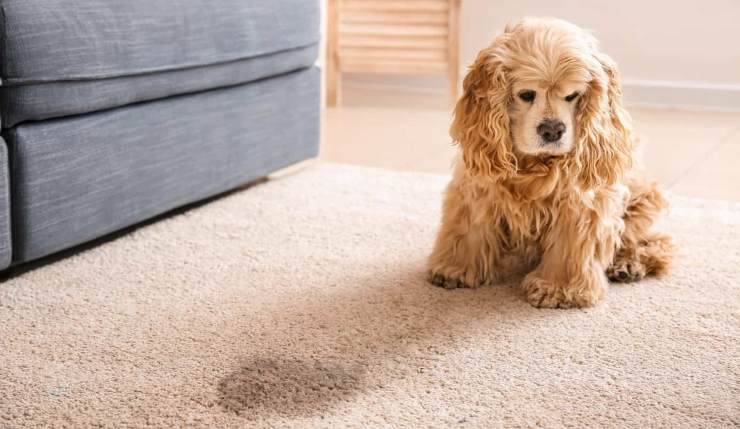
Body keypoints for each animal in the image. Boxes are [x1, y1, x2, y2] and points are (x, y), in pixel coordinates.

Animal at [428, 17, 676, 308]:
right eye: (526, 94)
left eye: (572, 95)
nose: (552, 130)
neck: (533, 164)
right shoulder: (478, 187)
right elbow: (468, 228)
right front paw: (455, 268)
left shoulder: (581, 203)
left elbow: (570, 247)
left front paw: (558, 289)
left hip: (643, 202)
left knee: (656, 242)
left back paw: (627, 264)